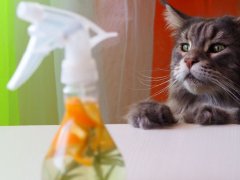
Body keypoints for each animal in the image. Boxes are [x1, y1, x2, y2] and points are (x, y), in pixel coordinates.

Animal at [126, 0, 240, 129]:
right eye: (185, 47)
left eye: (217, 48)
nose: (189, 60)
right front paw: (148, 110)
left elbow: (232, 113)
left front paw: (203, 113)